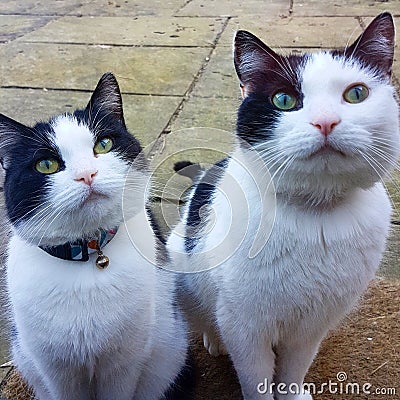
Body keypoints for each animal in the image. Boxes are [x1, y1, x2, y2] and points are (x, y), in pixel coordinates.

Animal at [0, 72, 191, 400]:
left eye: (103, 144)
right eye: (46, 164)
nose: (87, 174)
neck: (88, 255)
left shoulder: (124, 362)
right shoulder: (56, 370)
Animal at [167, 12, 398, 400]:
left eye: (357, 94)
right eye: (284, 100)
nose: (325, 121)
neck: (316, 217)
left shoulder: (311, 327)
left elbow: (293, 369)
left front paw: (292, 393)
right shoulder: (244, 326)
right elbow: (256, 378)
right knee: (205, 318)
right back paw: (214, 341)